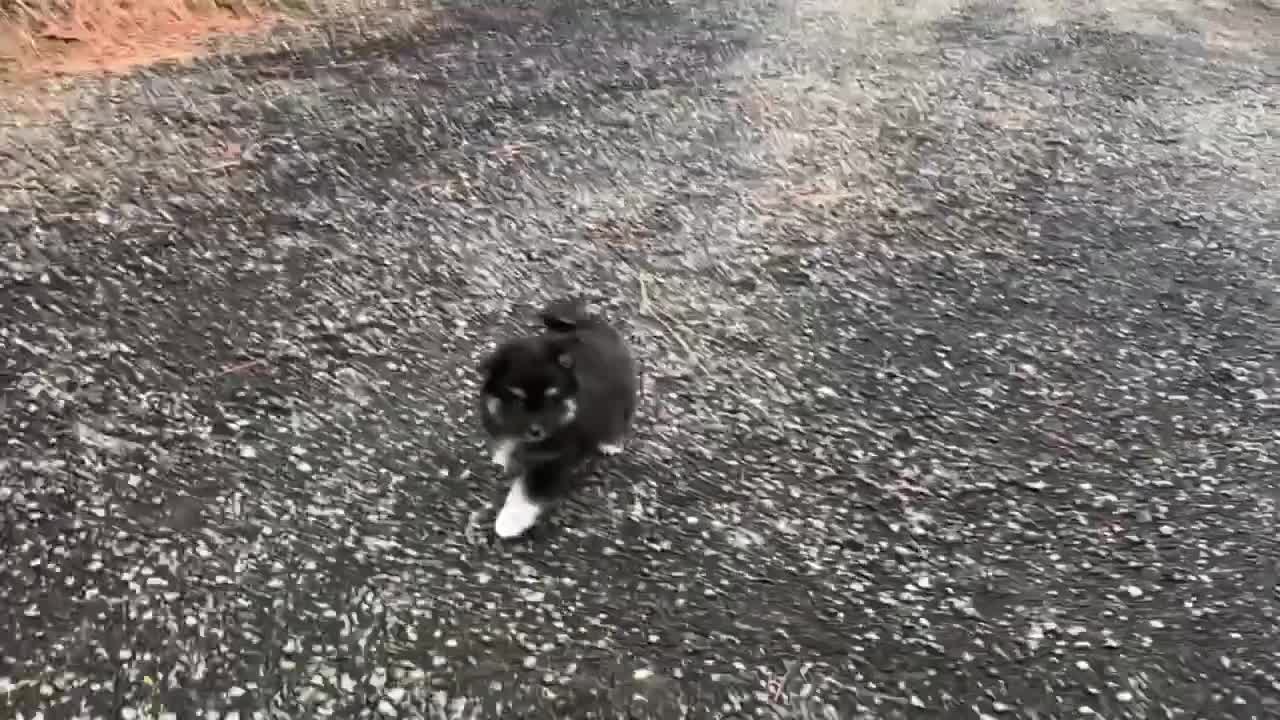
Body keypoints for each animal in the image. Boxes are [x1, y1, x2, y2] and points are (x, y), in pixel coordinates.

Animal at [478, 298, 637, 538]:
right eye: (517, 400)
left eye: (551, 398)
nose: (536, 431)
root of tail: (594, 326)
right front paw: (503, 458)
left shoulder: (552, 462)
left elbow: (527, 494)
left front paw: (509, 522)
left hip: (623, 397)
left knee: (620, 418)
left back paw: (611, 443)